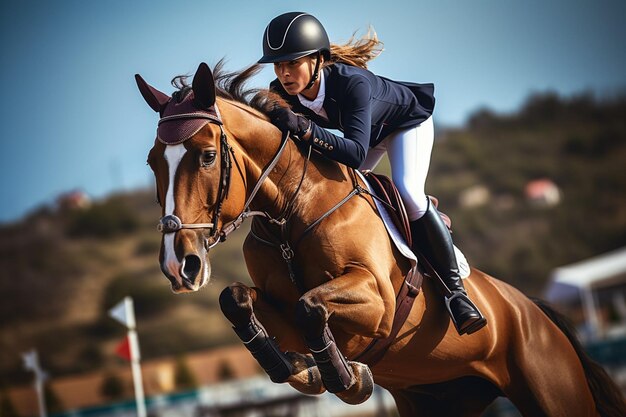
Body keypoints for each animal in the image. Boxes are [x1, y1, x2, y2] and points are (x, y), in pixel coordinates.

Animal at [136, 62, 624, 416]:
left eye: (207, 156)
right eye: (152, 162)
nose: (179, 265)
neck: (291, 212)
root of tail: (532, 312)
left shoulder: (377, 302)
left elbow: (310, 305)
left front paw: (346, 379)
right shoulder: (277, 305)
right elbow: (237, 300)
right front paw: (300, 370)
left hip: (553, 391)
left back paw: (464, 310)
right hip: (441, 399)